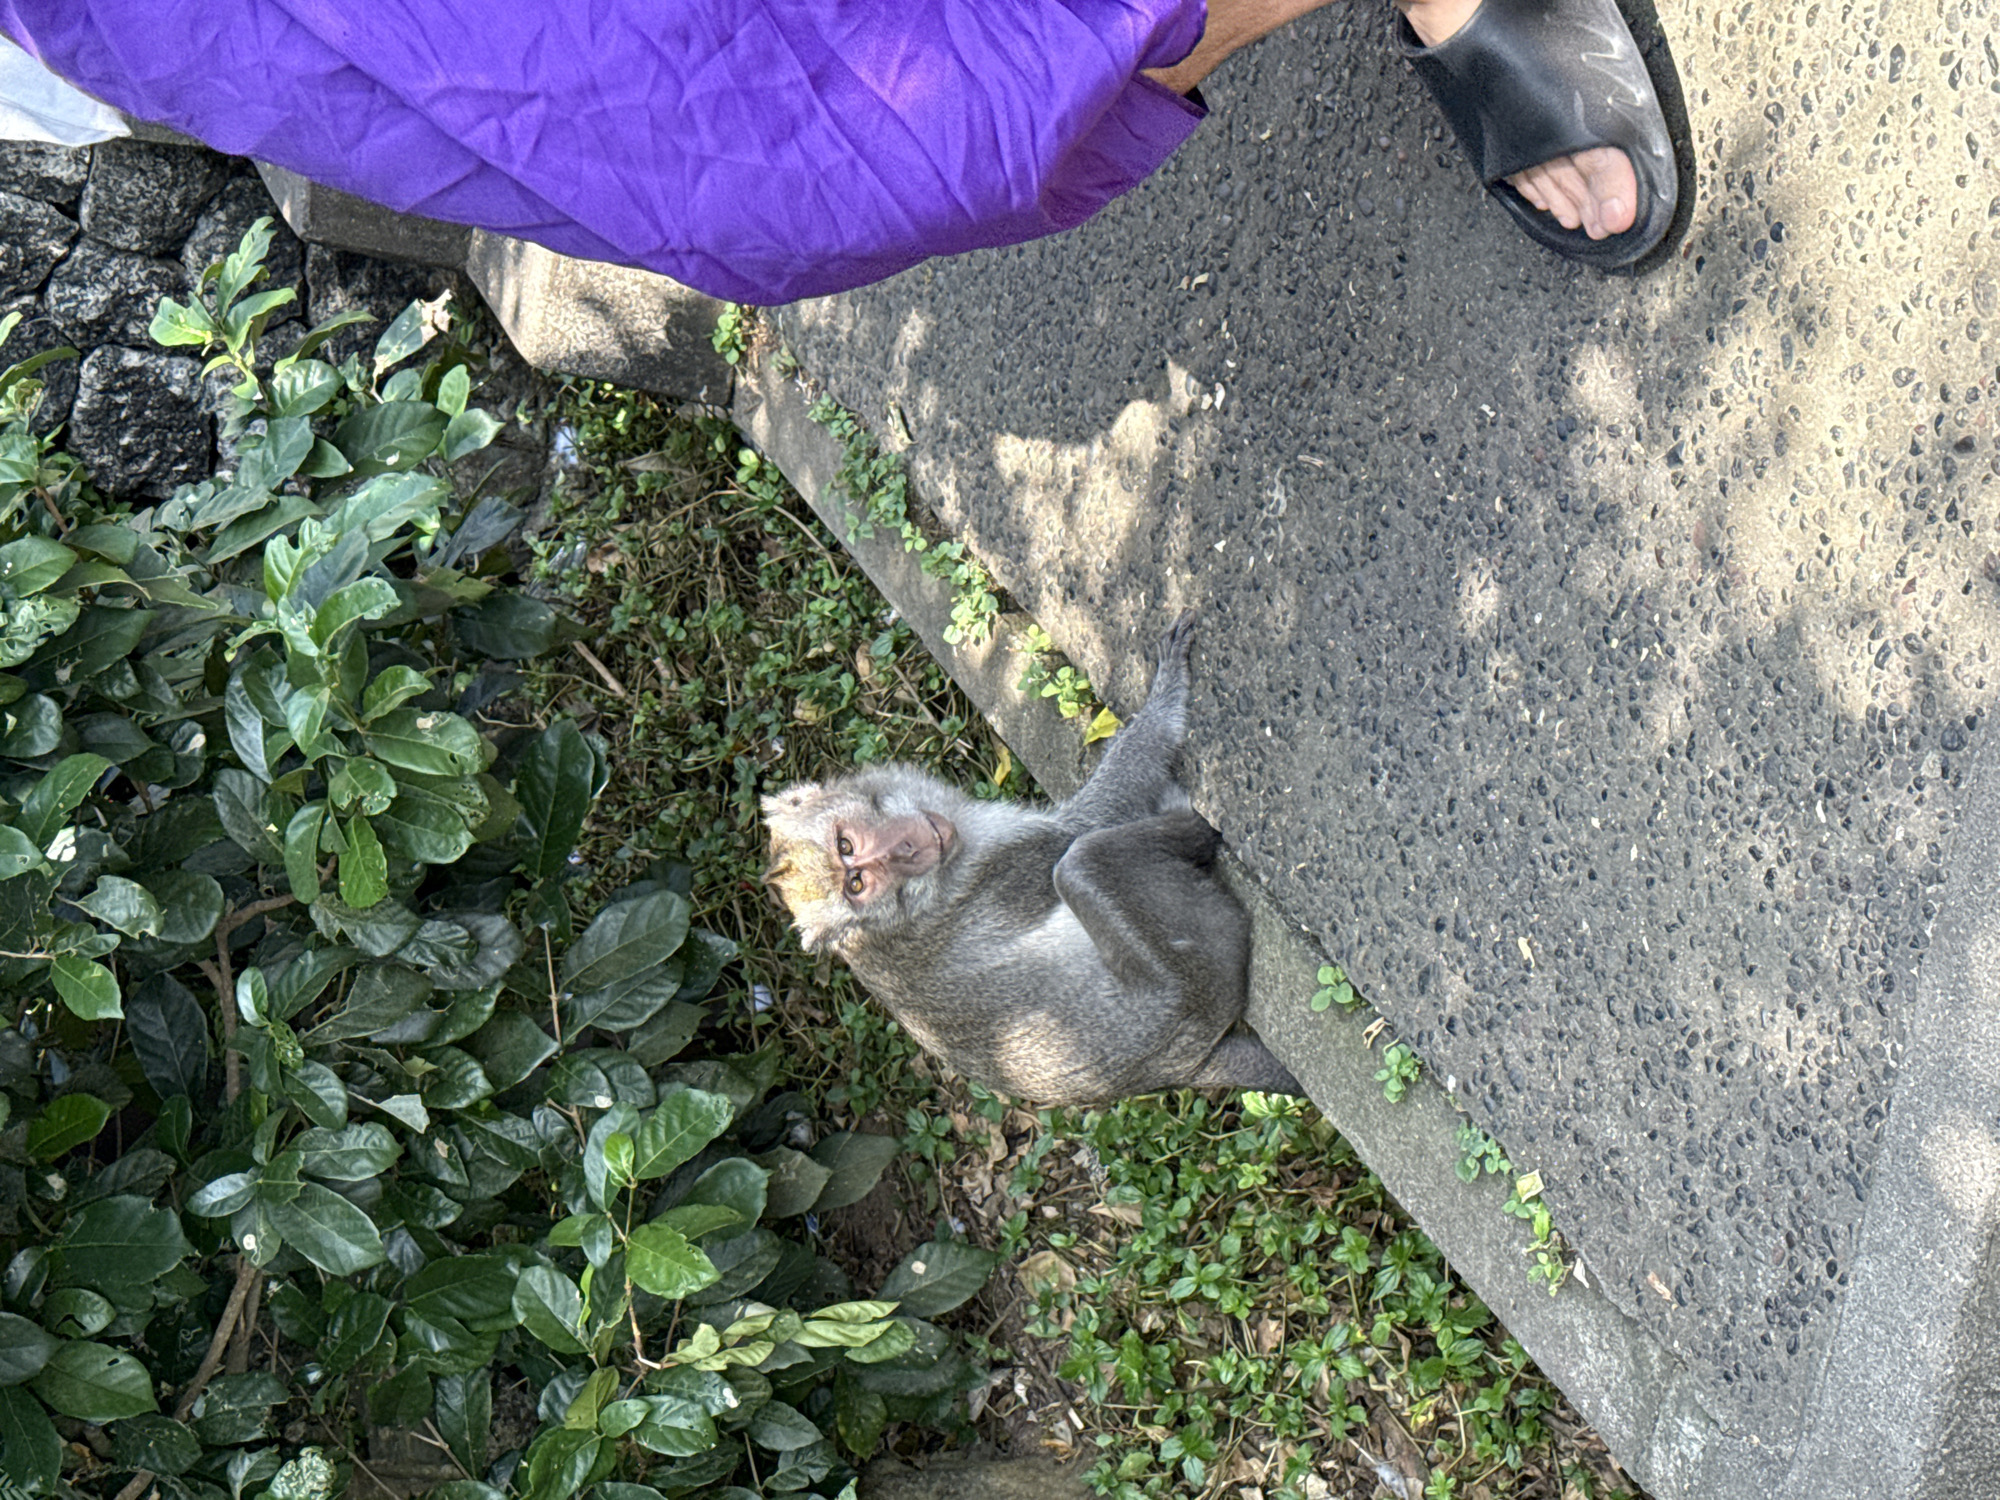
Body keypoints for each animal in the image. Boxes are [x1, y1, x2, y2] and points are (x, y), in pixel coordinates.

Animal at [762, 612, 1301, 1106]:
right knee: (1080, 861)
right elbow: (1089, 818)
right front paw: (1165, 691)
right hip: (1195, 981)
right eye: (858, 881)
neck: (911, 906)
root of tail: (1184, 1067)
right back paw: (1188, 825)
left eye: (846, 850)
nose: (904, 851)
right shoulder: (1004, 861)